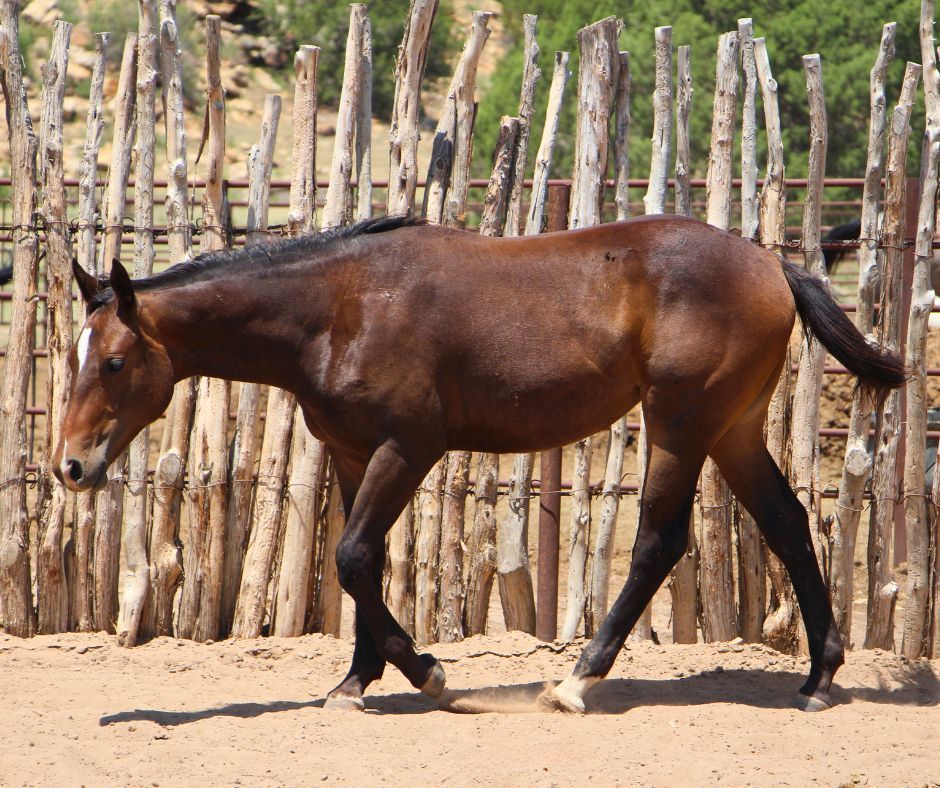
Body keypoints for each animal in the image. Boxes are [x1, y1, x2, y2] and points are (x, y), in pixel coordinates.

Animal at [53, 213, 905, 714]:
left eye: (117, 361)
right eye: (75, 355)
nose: (70, 468)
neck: (339, 307)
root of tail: (772, 265)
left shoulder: (409, 448)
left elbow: (354, 557)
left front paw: (427, 672)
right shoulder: (353, 454)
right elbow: (363, 565)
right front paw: (355, 682)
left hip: (680, 426)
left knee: (659, 544)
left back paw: (577, 680)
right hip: (732, 430)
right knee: (790, 524)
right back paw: (819, 679)